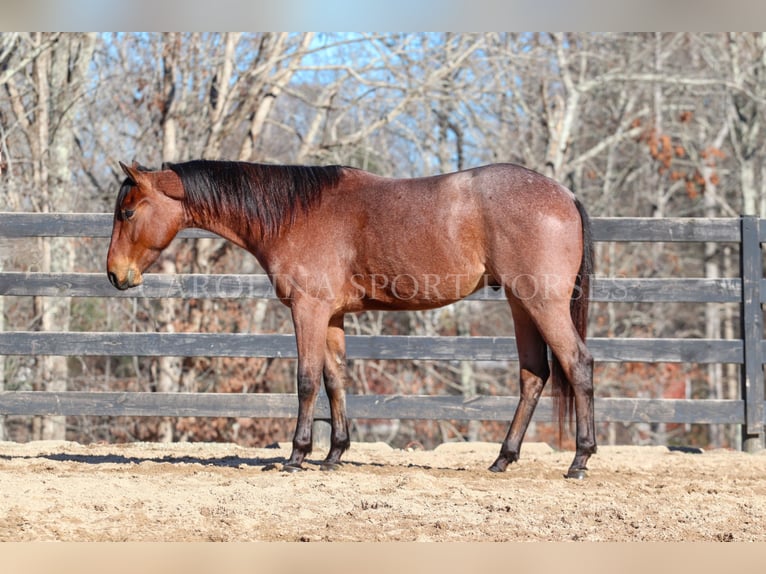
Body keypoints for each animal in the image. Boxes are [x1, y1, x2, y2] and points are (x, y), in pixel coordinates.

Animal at [106, 160, 600, 480]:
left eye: (127, 211)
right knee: (533, 375)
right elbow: (334, 380)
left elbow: (307, 380)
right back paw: (503, 458)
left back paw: (579, 460)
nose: (114, 275)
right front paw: (334, 454)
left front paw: (298, 455)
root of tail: (565, 194)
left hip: (543, 303)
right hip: (521, 305)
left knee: (578, 365)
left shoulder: (307, 310)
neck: (296, 213)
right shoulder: (332, 317)